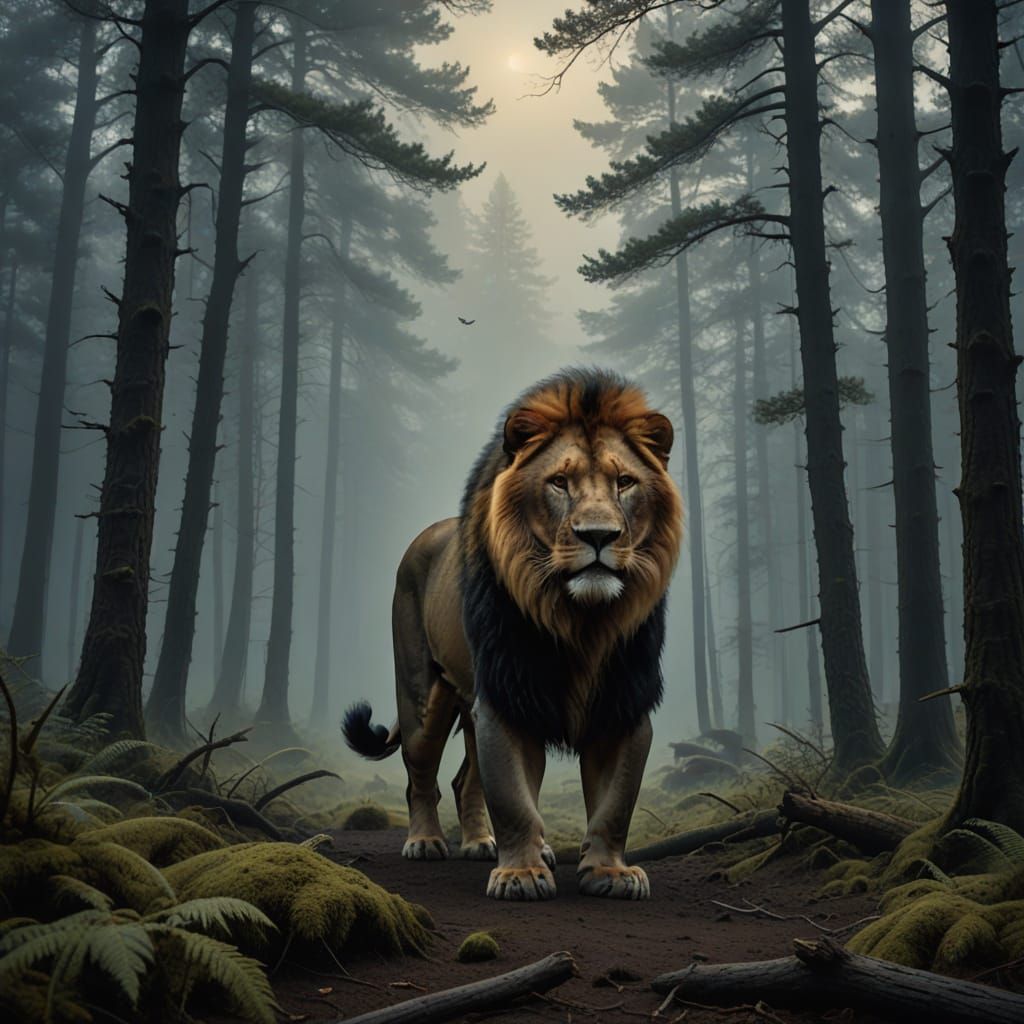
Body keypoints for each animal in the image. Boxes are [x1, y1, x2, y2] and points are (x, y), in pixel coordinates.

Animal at [343, 368, 683, 901]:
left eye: (625, 482)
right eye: (559, 482)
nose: (599, 535)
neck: (581, 619)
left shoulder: (624, 702)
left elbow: (615, 803)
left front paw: (610, 873)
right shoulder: (507, 697)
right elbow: (514, 800)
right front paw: (521, 874)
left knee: (466, 780)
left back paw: (481, 844)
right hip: (422, 696)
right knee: (421, 773)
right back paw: (425, 842)